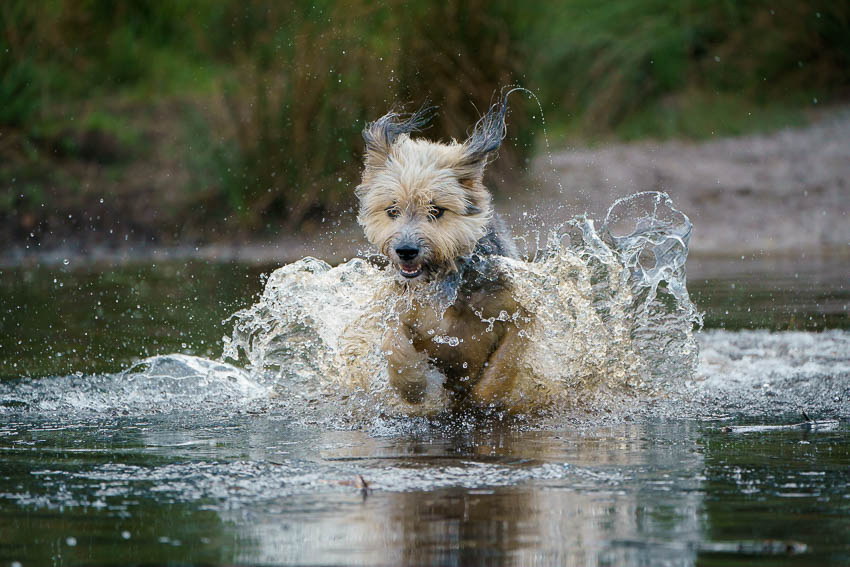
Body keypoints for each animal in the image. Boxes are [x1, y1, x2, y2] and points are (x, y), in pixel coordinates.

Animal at [352, 100, 528, 410]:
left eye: (436, 210)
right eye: (392, 210)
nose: (406, 251)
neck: (444, 282)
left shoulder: (518, 311)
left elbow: (506, 360)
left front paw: (485, 398)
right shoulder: (399, 308)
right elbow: (392, 341)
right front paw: (412, 387)